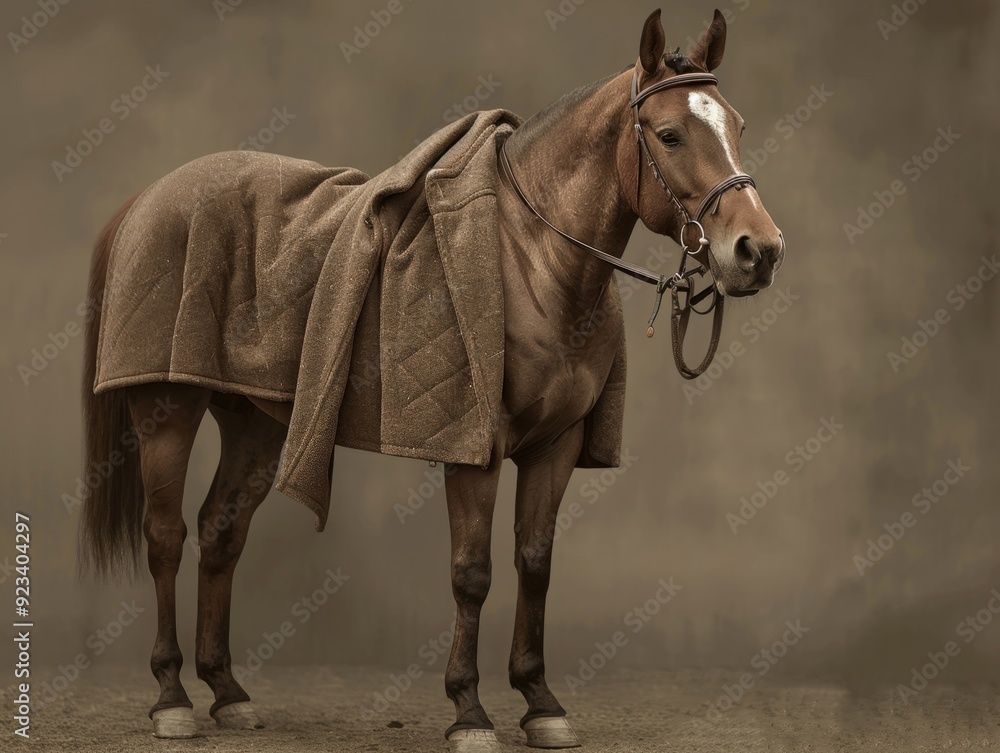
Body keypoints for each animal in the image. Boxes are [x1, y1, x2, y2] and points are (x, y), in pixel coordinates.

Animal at [80, 8, 783, 750]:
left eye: (737, 126)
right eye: (671, 134)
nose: (758, 250)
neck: (532, 260)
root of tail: (148, 200)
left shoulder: (557, 445)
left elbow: (536, 563)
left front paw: (540, 701)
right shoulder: (473, 447)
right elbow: (472, 574)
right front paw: (469, 710)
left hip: (257, 424)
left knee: (221, 531)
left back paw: (227, 691)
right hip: (168, 409)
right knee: (165, 537)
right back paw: (172, 696)